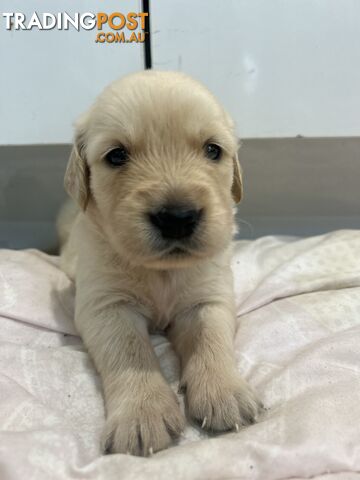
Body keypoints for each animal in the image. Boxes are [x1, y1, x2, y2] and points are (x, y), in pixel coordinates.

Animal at [59, 69, 262, 456]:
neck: (162, 271)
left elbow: (211, 340)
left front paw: (226, 392)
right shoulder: (106, 305)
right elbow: (130, 352)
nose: (178, 218)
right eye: (117, 156)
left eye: (213, 150)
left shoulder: (208, 298)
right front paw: (142, 415)